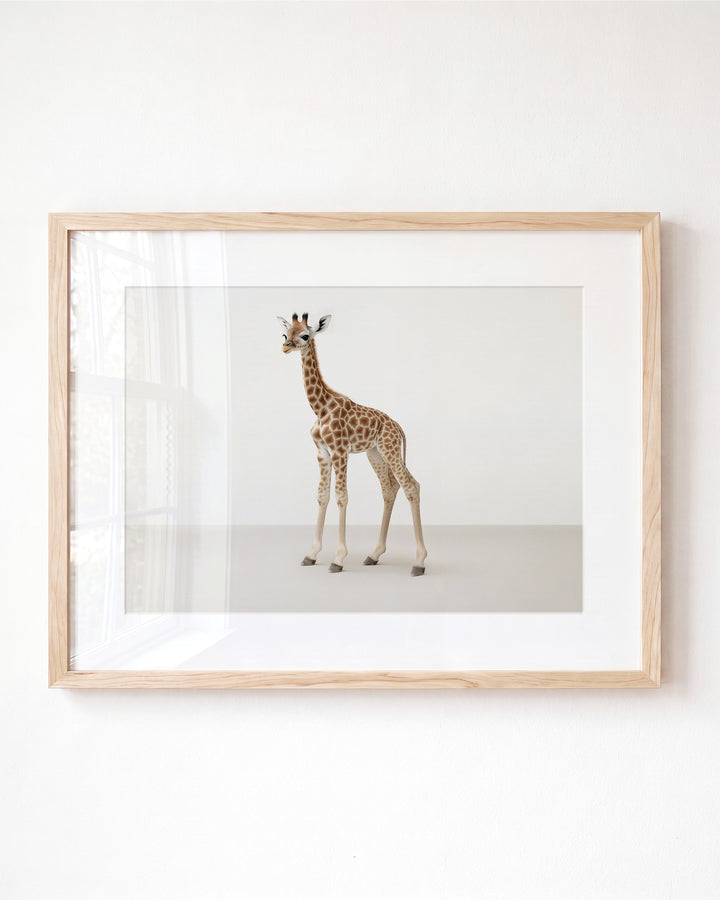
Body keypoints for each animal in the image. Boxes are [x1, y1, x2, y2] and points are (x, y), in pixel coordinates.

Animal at [277, 312, 428, 576]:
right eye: (285, 334)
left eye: (305, 335)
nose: (285, 347)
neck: (320, 408)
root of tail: (398, 426)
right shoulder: (322, 453)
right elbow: (322, 496)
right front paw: (311, 555)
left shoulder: (340, 451)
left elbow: (341, 496)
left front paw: (338, 559)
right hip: (375, 453)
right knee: (389, 489)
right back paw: (374, 554)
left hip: (389, 449)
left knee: (411, 485)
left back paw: (419, 562)